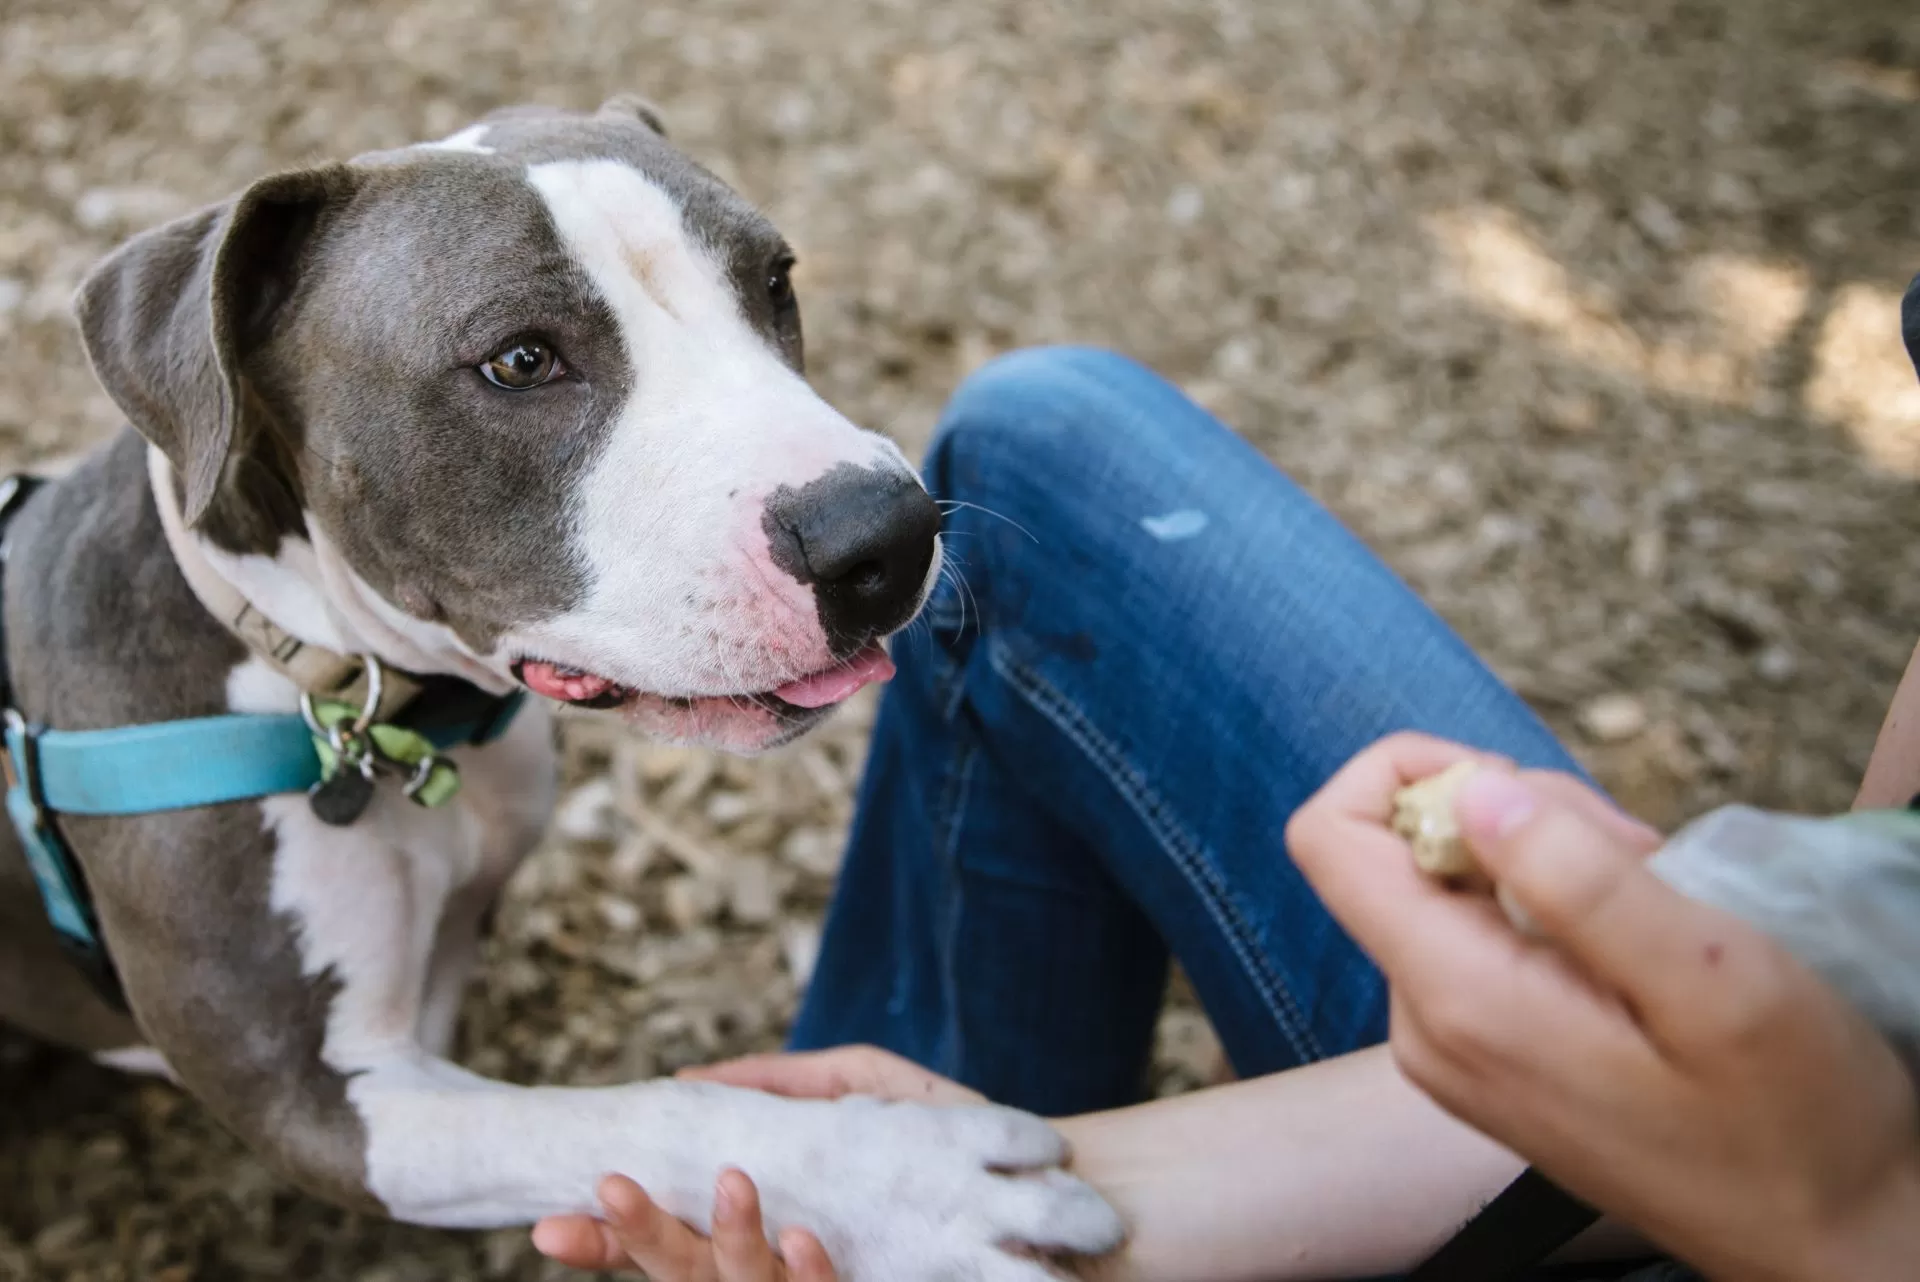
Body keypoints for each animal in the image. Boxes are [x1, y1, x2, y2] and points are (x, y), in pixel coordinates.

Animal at [0, 94, 1121, 1274]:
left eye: (773, 281)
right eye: (522, 360)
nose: (886, 533)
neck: (371, 703)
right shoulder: (313, 1095)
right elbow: (643, 1115)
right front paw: (916, 1181)